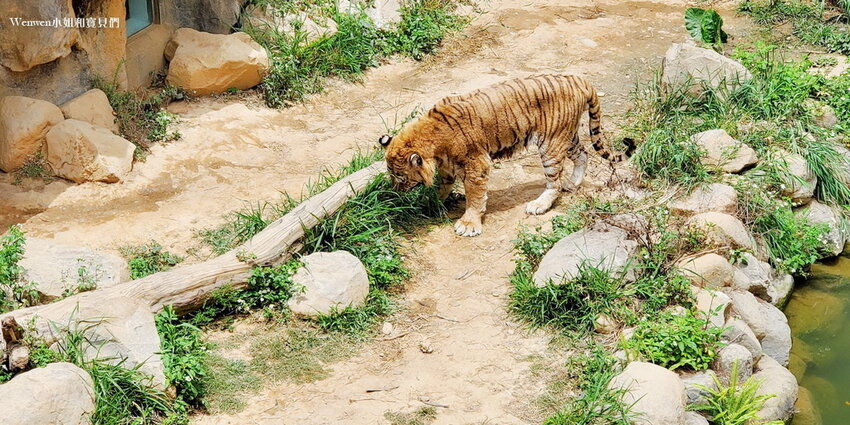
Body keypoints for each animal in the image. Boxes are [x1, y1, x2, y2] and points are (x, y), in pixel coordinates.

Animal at [379, 74, 634, 237]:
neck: (433, 142)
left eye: (400, 177)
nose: (395, 191)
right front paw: (431, 204)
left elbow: (474, 196)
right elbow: (442, 188)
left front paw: (468, 224)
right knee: (583, 155)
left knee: (554, 182)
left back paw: (540, 204)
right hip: (565, 136)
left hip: (550, 144)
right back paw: (573, 183)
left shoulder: (476, 164)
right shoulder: (447, 168)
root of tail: (580, 80)